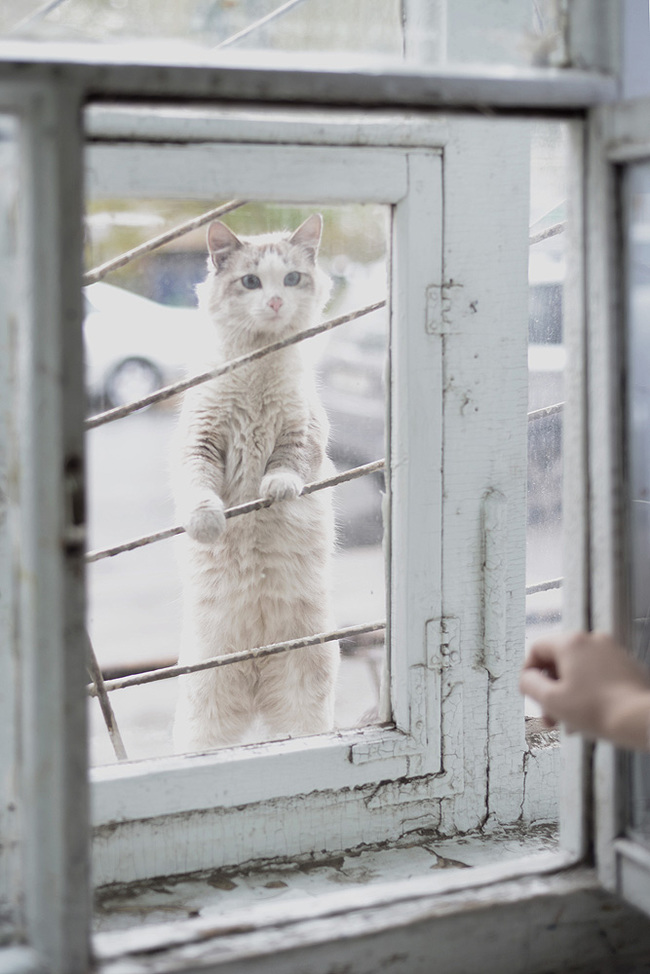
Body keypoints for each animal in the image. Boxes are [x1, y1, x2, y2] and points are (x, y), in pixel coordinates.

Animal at [170, 215, 340, 756]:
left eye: (291, 278)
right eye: (250, 281)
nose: (276, 302)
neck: (258, 369)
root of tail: (256, 662)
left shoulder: (304, 432)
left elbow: (286, 467)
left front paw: (276, 491)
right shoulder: (198, 443)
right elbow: (200, 492)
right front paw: (208, 525)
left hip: (302, 694)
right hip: (205, 710)